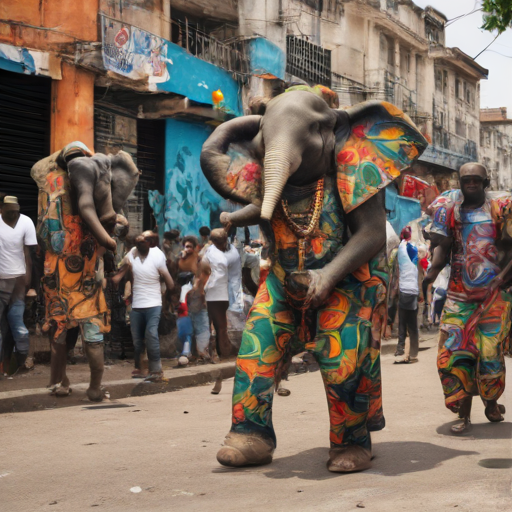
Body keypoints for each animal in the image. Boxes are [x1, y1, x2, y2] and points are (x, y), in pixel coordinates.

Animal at [31, 142, 140, 402]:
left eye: (102, 178)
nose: (113, 250)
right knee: (78, 332)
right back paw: (89, 393)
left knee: (71, 334)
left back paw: (68, 388)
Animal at [200, 87, 428, 472]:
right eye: (262, 136)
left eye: (314, 128)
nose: (226, 228)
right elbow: (259, 343)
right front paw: (240, 453)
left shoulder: (361, 179)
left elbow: (367, 231)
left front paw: (313, 285)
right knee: (257, 344)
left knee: (342, 353)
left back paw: (353, 456)